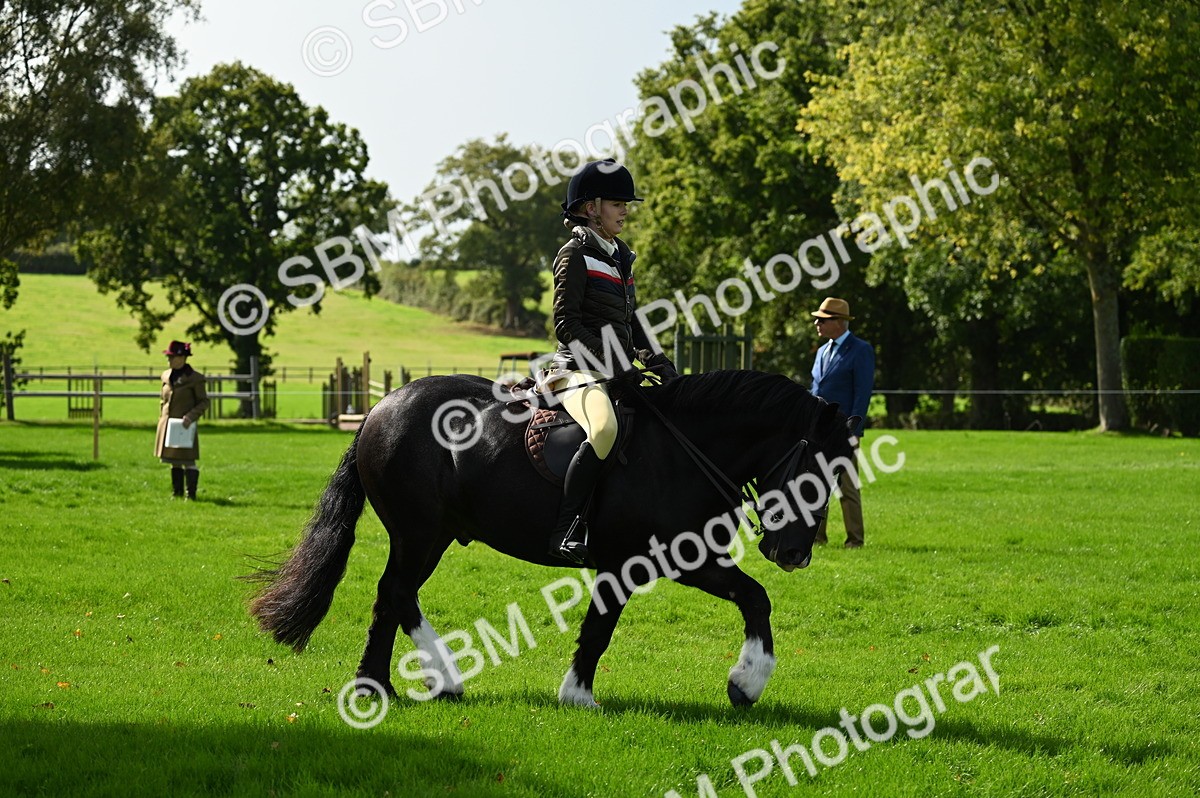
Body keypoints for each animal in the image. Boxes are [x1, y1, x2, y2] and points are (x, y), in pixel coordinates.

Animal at [247, 370, 859, 708]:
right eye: (814, 474)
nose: (795, 554)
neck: (682, 451)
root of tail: (381, 406)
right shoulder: (659, 558)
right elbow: (613, 625)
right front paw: (744, 685)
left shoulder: (665, 559)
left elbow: (610, 622)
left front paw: (578, 691)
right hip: (419, 531)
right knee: (396, 593)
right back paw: (420, 684)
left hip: (433, 534)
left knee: (393, 596)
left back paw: (391, 686)